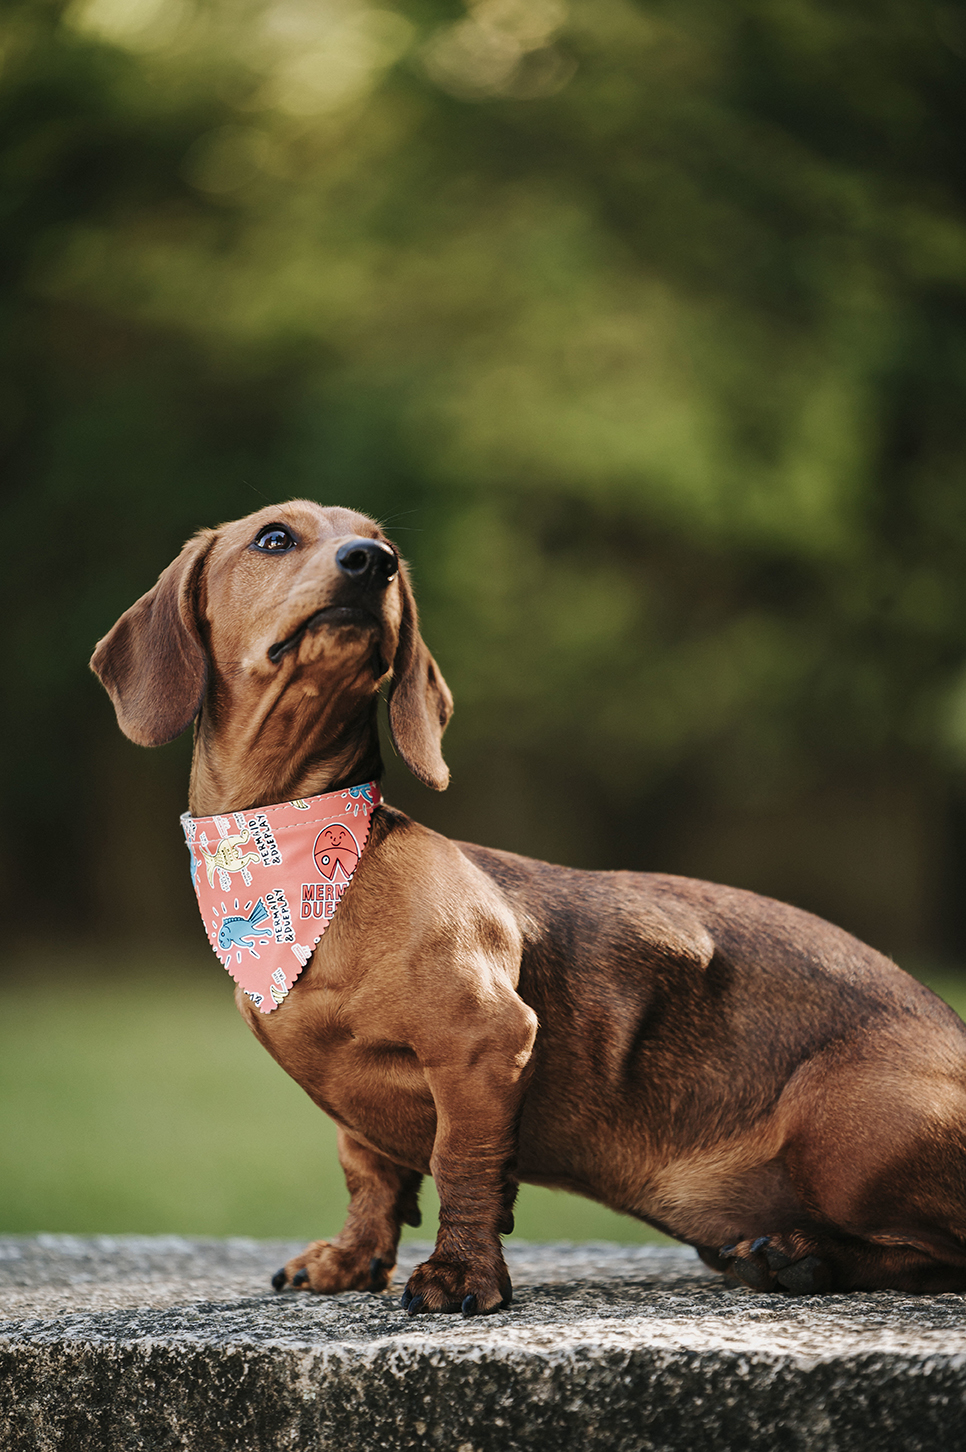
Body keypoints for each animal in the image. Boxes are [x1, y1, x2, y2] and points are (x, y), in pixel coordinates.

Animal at [92, 502, 966, 1318]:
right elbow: (369, 1176)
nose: (371, 561)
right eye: (274, 537)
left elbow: (463, 1167)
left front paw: (460, 1275)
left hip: (843, 1128)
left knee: (941, 1254)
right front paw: (350, 1259)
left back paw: (802, 1256)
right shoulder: (357, 1113)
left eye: (385, 546)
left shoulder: (485, 1042)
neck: (311, 858)